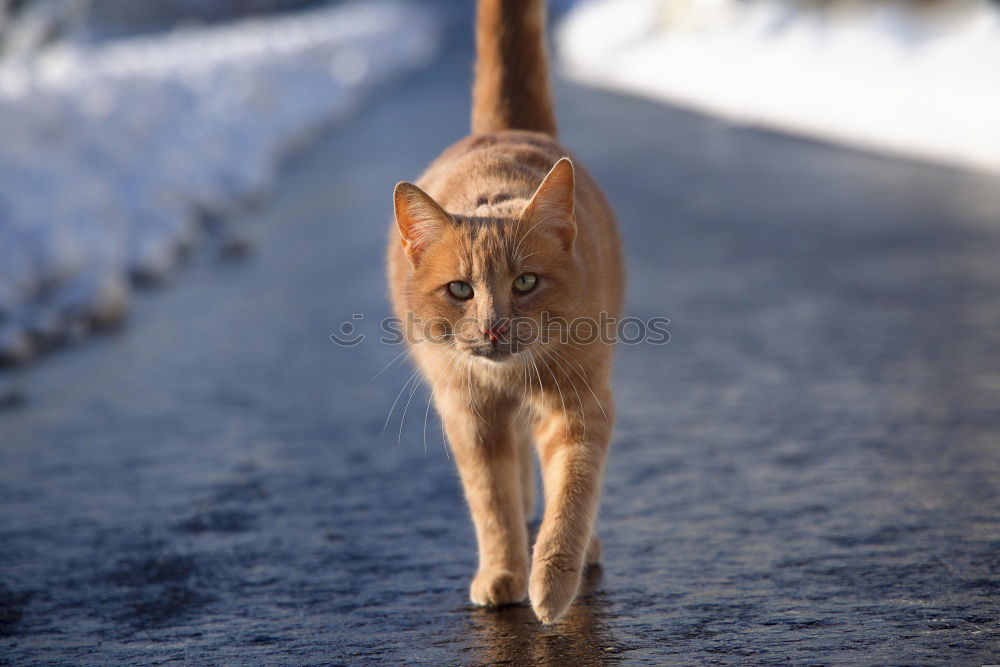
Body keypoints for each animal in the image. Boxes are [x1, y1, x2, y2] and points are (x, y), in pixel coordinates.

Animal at [386, 0, 620, 628]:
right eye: (460, 290)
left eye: (525, 282)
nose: (493, 325)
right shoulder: (469, 414)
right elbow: (493, 502)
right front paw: (504, 572)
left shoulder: (576, 407)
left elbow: (572, 492)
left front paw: (552, 579)